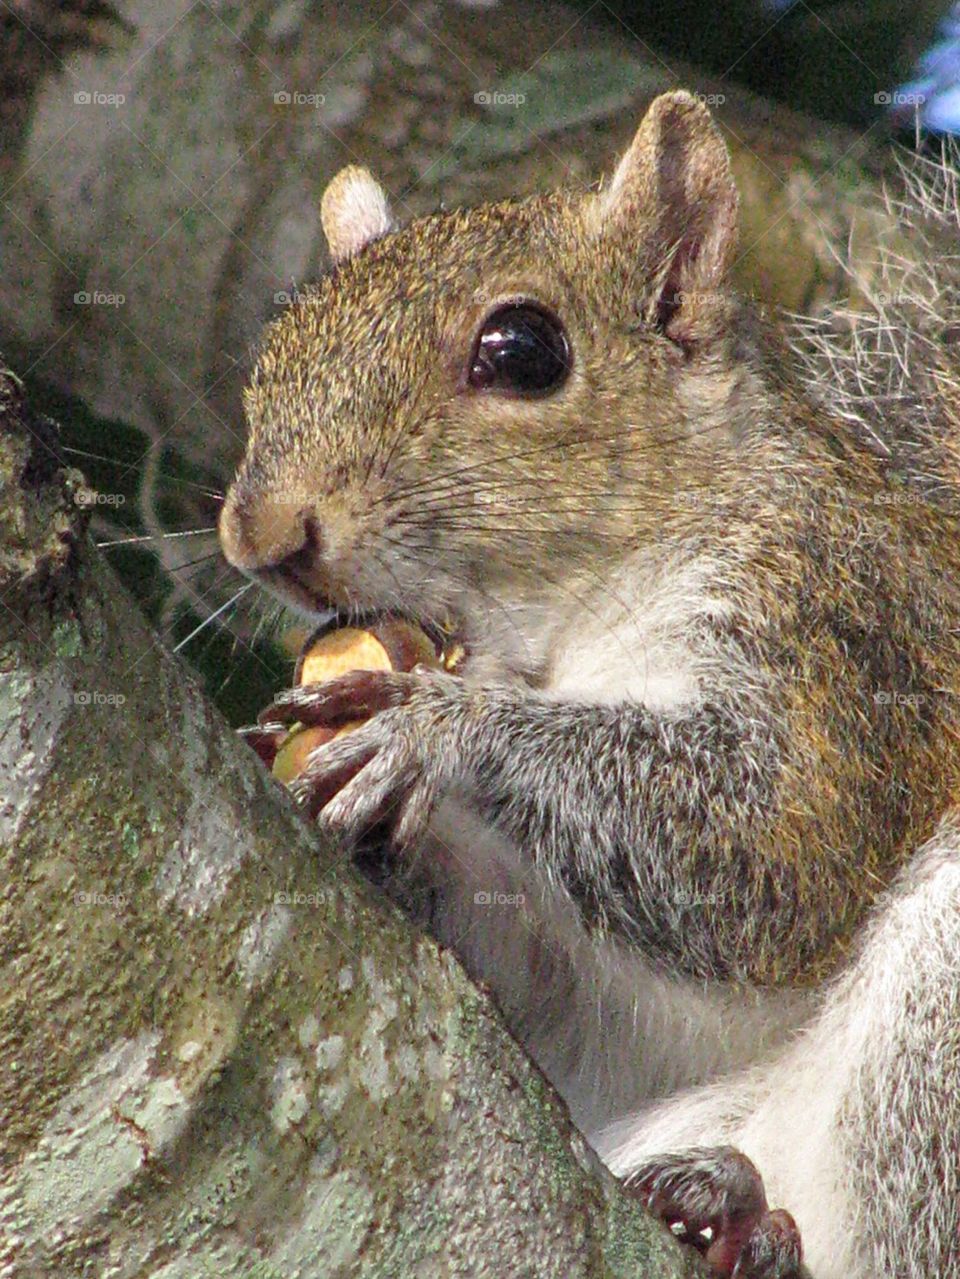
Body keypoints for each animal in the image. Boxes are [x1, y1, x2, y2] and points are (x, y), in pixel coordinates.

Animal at [219, 91, 960, 1279]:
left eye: (523, 351)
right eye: (275, 353)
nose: (261, 536)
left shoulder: (843, 642)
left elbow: (770, 850)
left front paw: (432, 732)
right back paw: (720, 1213)